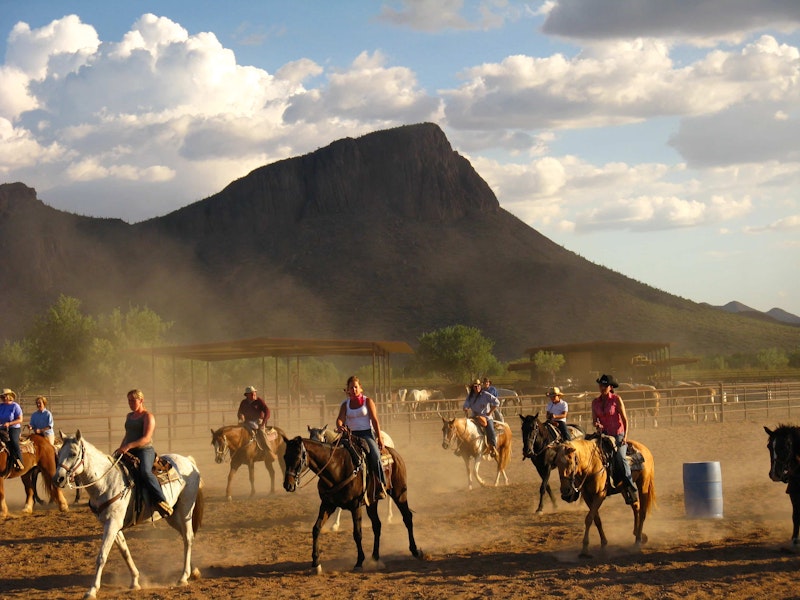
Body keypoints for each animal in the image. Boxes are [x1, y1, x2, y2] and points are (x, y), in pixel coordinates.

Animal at [53, 432, 203, 600]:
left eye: (73, 453)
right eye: (59, 453)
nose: (58, 479)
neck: (107, 482)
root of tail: (189, 462)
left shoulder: (112, 524)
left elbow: (102, 556)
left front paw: (92, 590)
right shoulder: (112, 525)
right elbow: (125, 552)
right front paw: (135, 581)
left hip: (185, 509)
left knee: (188, 537)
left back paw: (183, 577)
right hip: (172, 515)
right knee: (185, 537)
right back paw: (193, 571)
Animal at [280, 436, 422, 572]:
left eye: (298, 457)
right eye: (285, 456)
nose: (288, 485)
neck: (336, 468)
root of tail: (395, 453)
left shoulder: (356, 506)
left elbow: (357, 534)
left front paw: (359, 562)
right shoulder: (327, 504)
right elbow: (316, 529)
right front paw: (316, 563)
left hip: (399, 493)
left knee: (407, 518)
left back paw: (415, 550)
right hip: (372, 502)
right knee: (377, 525)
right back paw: (375, 557)